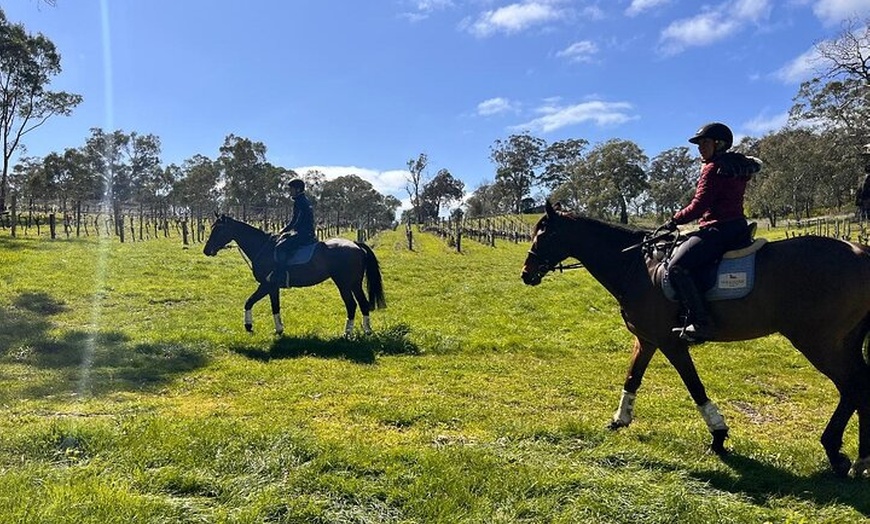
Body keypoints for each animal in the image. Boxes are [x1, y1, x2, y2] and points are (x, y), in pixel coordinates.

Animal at [203, 214, 386, 336]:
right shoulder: (272, 287)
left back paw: (347, 333)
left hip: (344, 284)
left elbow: (249, 302)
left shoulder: (267, 284)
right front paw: (278, 329)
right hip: (354, 284)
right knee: (363, 304)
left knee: (352, 305)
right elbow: (274, 306)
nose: (206, 250)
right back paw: (367, 330)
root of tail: (355, 244)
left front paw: (248, 326)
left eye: (218, 230)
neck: (263, 247)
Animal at [521, 200, 870, 478]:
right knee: (858, 386)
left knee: (853, 388)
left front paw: (718, 435)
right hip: (843, 343)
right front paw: (619, 420)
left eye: (543, 235)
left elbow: (695, 387)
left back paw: (841, 455)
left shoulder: (670, 343)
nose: (526, 273)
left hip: (819, 343)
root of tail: (861, 253)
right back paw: (855, 458)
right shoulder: (647, 340)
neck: (638, 266)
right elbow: (632, 377)